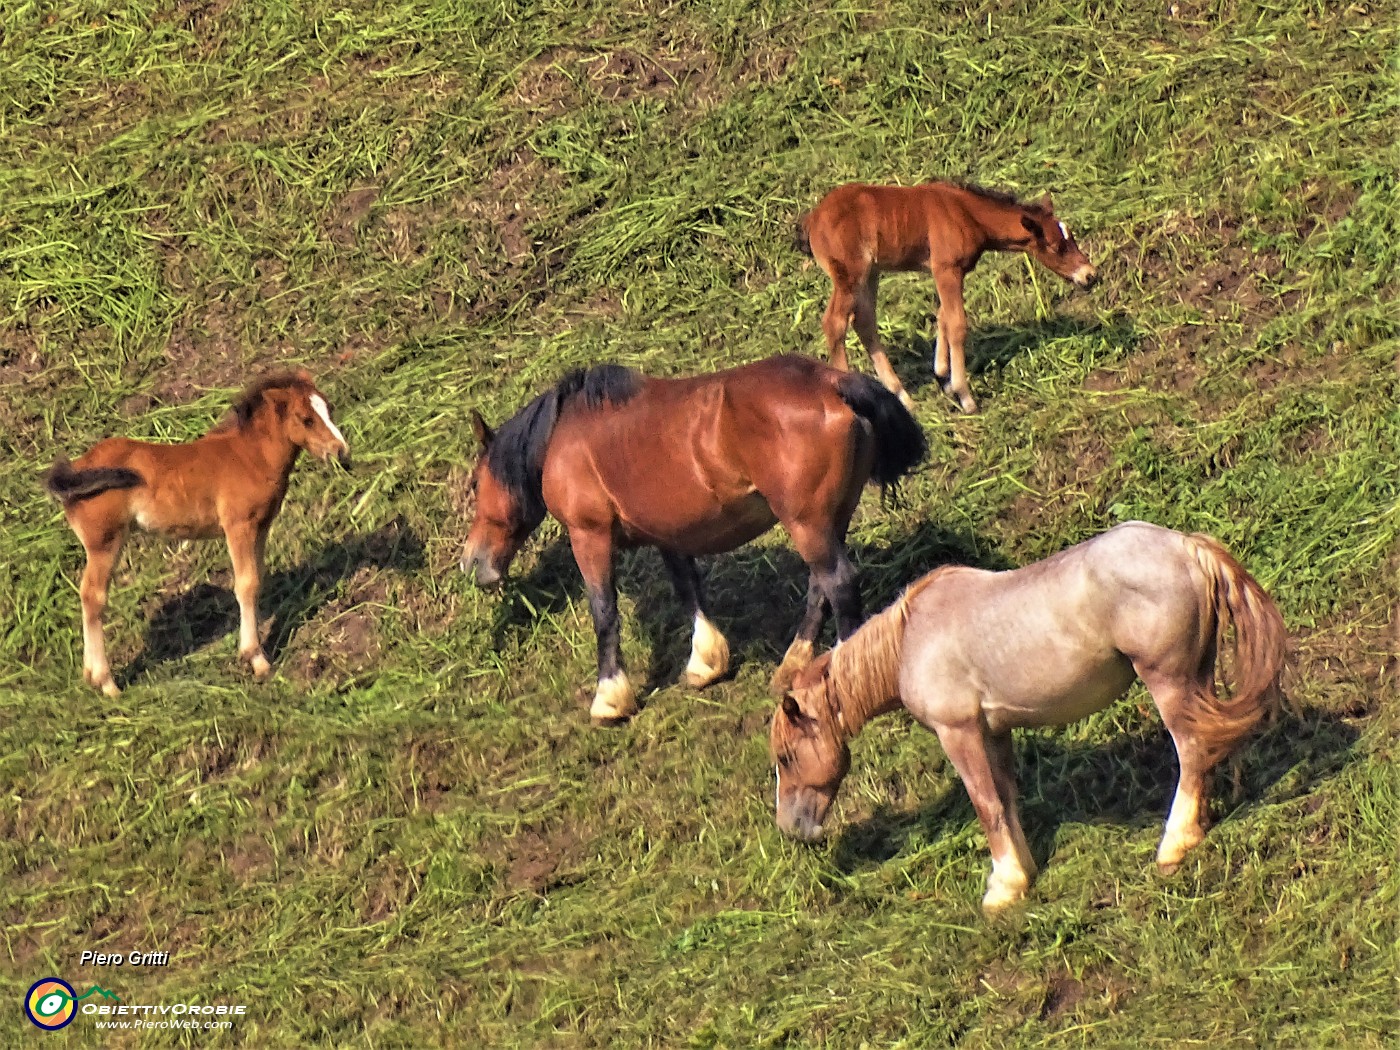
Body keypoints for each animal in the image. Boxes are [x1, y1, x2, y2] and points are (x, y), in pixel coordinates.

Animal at [44, 369, 352, 700]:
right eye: (305, 418)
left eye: (329, 409)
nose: (341, 451)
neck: (250, 456)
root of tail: (76, 468)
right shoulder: (238, 526)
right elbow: (246, 584)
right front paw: (255, 658)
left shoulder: (261, 527)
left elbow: (258, 580)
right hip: (105, 542)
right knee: (93, 596)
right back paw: (107, 682)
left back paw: (90, 676)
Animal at [462, 354, 929, 722]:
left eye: (474, 483)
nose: (472, 562)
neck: (566, 437)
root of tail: (832, 382)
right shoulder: (669, 533)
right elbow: (689, 590)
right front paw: (707, 661)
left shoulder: (589, 536)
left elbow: (604, 612)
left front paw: (610, 697)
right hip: (827, 522)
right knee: (821, 587)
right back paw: (793, 667)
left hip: (807, 523)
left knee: (839, 585)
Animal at [772, 523, 1282, 912]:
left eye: (785, 757)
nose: (790, 828)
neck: (911, 640)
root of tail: (1186, 547)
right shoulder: (994, 733)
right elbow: (1006, 799)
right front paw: (1022, 873)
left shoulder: (959, 733)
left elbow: (986, 806)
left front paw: (1003, 888)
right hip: (1198, 678)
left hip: (1168, 682)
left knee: (1191, 750)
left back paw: (1175, 843)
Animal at [795, 179, 1097, 414]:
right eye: (1057, 247)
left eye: (1072, 237)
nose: (1090, 276)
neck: (966, 213)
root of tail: (813, 219)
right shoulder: (946, 268)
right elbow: (957, 324)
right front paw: (965, 396)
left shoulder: (946, 272)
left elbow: (943, 315)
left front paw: (943, 375)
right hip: (849, 275)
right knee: (835, 322)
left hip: (871, 273)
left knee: (864, 321)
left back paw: (903, 398)